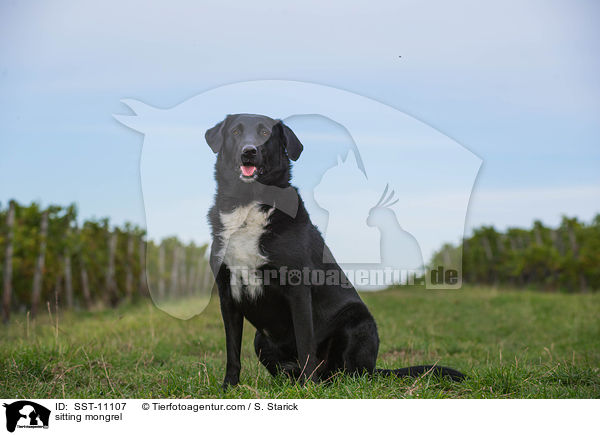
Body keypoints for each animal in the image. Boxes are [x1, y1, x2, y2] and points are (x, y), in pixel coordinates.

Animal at [206, 114, 464, 390]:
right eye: (235, 132)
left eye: (265, 132)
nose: (249, 151)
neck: (248, 204)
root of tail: (374, 369)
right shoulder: (227, 294)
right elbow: (232, 350)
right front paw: (229, 387)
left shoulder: (298, 289)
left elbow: (305, 343)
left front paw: (307, 388)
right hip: (260, 339)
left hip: (357, 321)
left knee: (349, 374)